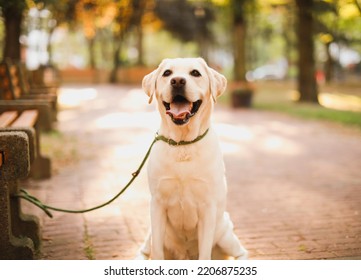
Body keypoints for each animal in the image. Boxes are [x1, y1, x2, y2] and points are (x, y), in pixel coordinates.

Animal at [135, 57, 248, 260]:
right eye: (167, 73)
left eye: (195, 73)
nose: (178, 81)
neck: (183, 144)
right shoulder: (157, 204)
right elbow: (157, 253)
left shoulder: (208, 207)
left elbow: (204, 254)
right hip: (150, 233)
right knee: (144, 251)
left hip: (224, 232)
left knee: (241, 252)